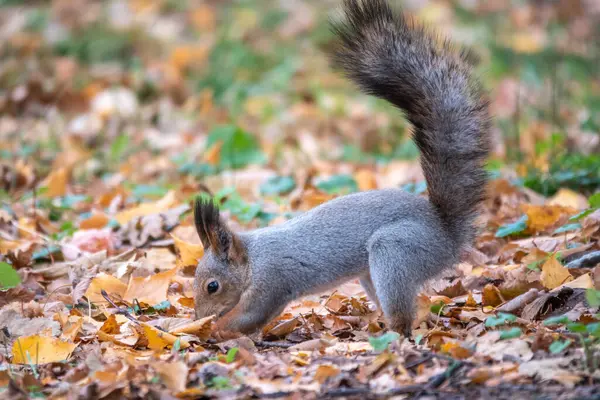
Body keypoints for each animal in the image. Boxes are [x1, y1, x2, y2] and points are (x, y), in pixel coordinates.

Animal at [192, 0, 492, 338]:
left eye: (212, 286)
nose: (198, 314)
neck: (253, 260)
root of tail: (448, 236)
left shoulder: (272, 281)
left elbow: (250, 315)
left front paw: (211, 328)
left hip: (396, 252)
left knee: (402, 318)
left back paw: (389, 334)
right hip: (373, 272)